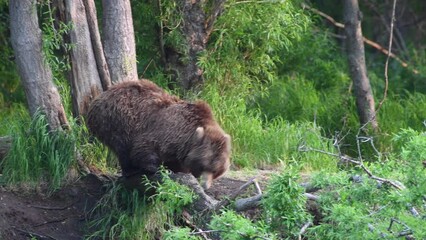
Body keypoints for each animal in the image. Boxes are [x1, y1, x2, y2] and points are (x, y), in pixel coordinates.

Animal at [85, 79, 230, 188]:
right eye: (203, 165)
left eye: (217, 170)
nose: (205, 186)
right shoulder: (164, 133)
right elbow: (144, 149)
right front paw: (159, 169)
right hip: (116, 118)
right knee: (122, 146)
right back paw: (130, 170)